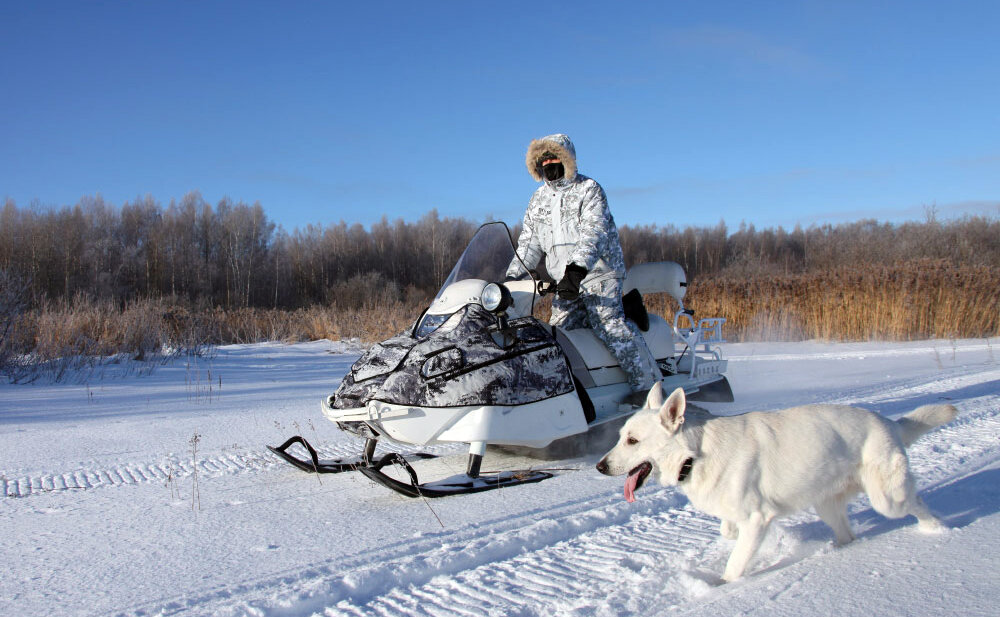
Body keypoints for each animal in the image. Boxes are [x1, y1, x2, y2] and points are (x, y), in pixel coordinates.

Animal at [596, 384, 956, 584]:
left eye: (632, 440)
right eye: (620, 436)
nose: (600, 466)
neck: (694, 454)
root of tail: (890, 424)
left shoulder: (757, 519)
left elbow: (735, 564)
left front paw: (723, 587)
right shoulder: (740, 514)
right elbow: (728, 531)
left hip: (889, 499)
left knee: (917, 504)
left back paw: (936, 530)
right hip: (827, 506)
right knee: (847, 534)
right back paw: (833, 551)